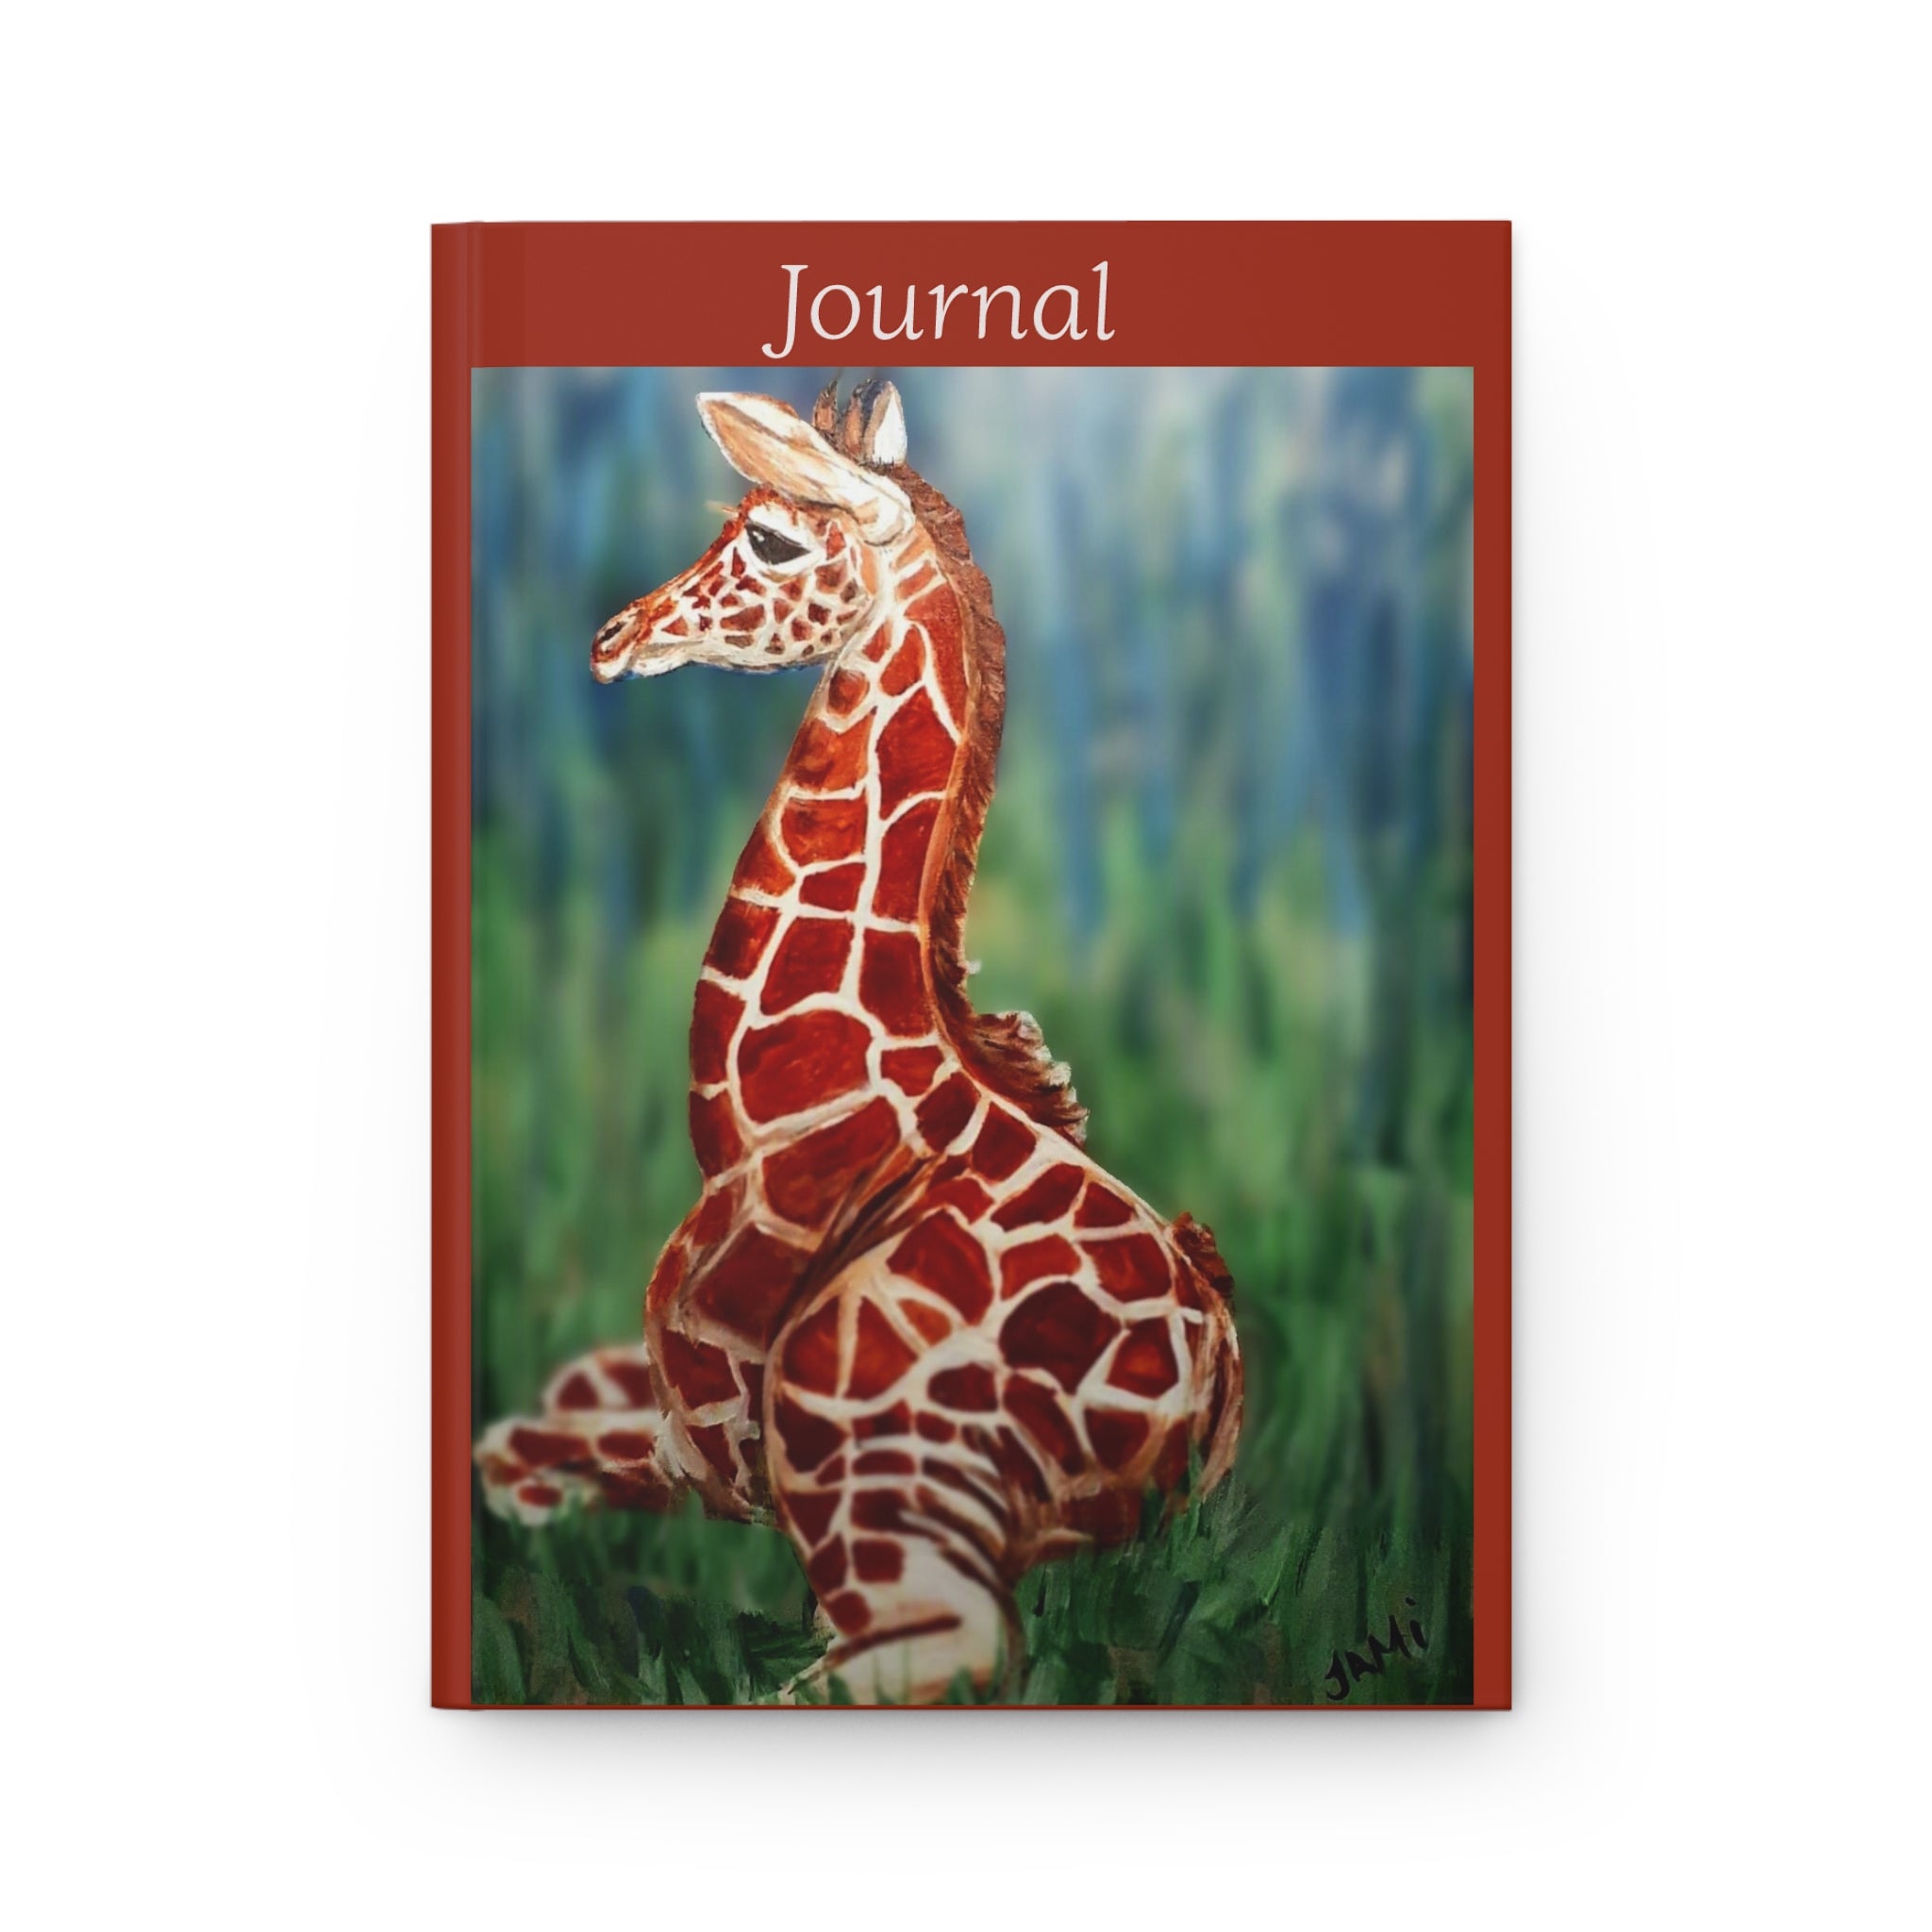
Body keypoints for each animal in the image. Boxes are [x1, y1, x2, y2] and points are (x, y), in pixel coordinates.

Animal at [475, 379, 1243, 1703]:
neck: (759, 1114)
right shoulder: (672, 1401)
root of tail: (1206, 1414)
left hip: (863, 1430)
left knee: (944, 1648)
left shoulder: (722, 1423)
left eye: (774, 538)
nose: (614, 634)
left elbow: (522, 1456)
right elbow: (528, 1419)